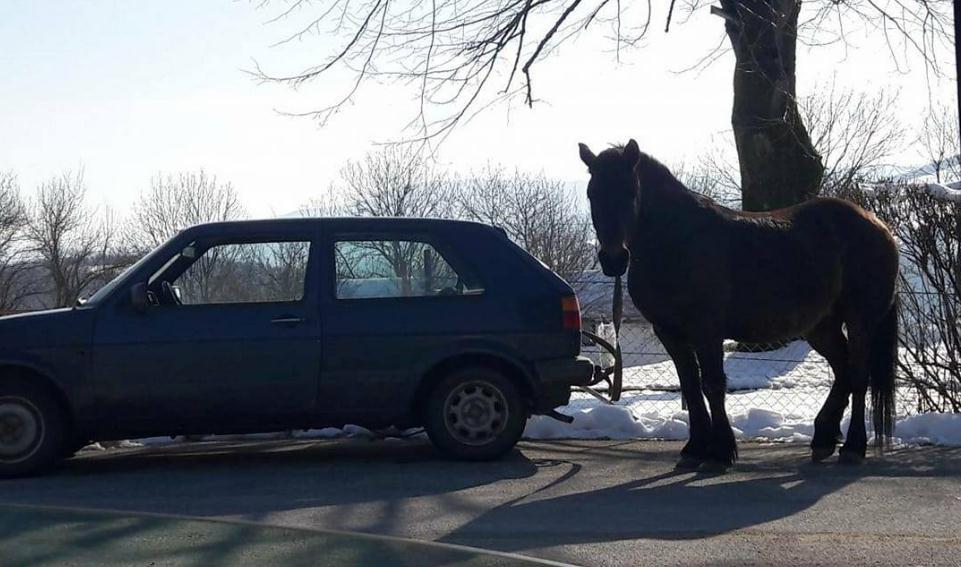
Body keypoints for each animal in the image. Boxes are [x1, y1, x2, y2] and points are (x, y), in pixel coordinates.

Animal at [576, 140, 900, 468]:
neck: (677, 241)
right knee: (843, 370)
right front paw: (695, 448)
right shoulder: (669, 333)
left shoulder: (707, 331)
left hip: (861, 321)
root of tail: (878, 225)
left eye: (631, 192)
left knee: (858, 375)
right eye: (592, 193)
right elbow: (690, 386)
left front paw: (721, 452)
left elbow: (712, 385)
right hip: (821, 326)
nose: (614, 259)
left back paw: (854, 447)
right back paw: (823, 439)